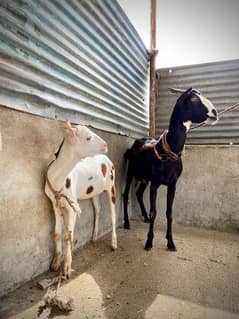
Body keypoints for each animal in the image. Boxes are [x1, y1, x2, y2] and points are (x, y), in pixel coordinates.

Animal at [45, 121, 117, 278]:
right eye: (88, 138)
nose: (106, 145)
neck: (58, 177)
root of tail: (107, 159)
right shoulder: (55, 202)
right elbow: (57, 233)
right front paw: (55, 263)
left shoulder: (72, 205)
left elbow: (69, 235)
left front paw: (66, 268)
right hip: (94, 191)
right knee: (98, 209)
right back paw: (94, 237)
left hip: (111, 185)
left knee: (113, 214)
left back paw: (114, 243)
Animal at [123, 89, 218, 251]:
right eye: (193, 99)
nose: (215, 112)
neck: (170, 152)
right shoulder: (155, 183)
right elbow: (154, 212)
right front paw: (149, 242)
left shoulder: (173, 184)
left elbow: (169, 213)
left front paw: (171, 242)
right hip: (131, 171)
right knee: (125, 194)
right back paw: (127, 223)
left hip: (144, 178)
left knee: (139, 193)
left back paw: (145, 217)